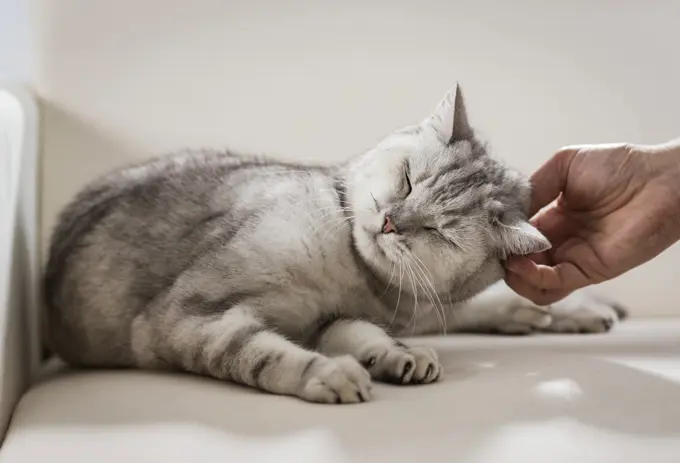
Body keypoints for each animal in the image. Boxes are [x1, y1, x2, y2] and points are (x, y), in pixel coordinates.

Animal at [43, 85, 628, 404]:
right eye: (409, 180)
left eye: (438, 229)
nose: (391, 222)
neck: (352, 272)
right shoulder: (188, 316)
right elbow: (261, 351)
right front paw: (330, 373)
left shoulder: (333, 318)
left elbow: (360, 333)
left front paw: (393, 357)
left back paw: (570, 312)